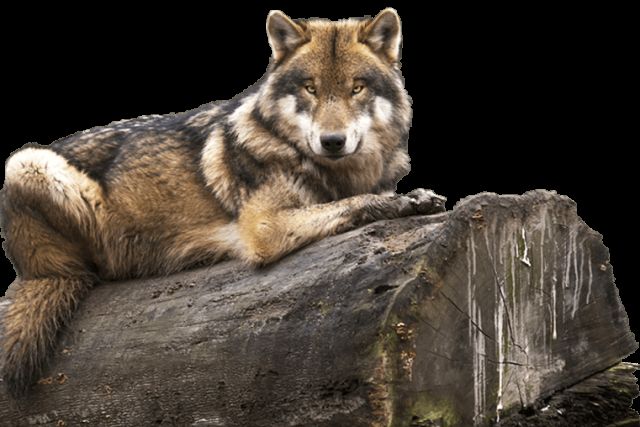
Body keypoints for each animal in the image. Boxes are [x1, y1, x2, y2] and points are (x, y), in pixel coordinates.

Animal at [0, 8, 444, 396]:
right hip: (26, 163)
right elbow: (357, 203)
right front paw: (408, 202)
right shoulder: (264, 228)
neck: (335, 172)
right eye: (311, 88)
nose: (332, 141)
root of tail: (32, 269)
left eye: (356, 87)